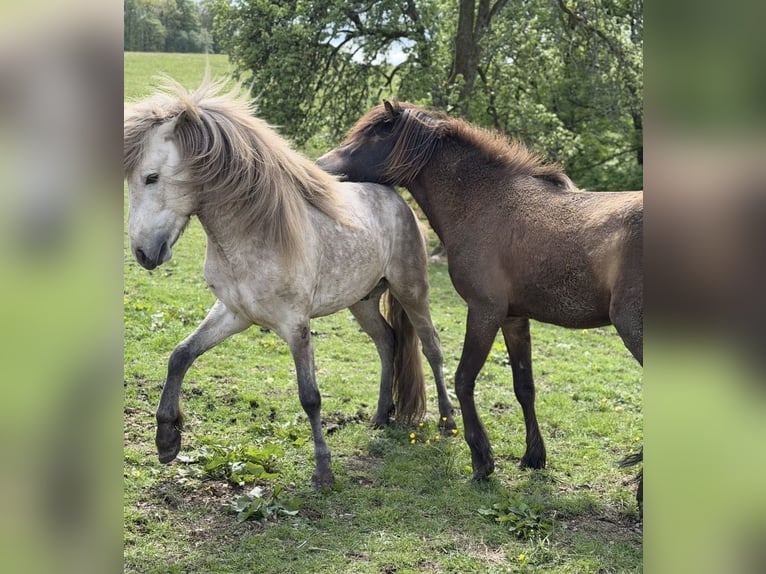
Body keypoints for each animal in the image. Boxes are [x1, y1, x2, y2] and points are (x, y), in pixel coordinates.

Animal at [124, 80, 455, 489]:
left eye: (151, 177)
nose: (143, 252)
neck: (254, 232)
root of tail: (397, 199)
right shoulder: (234, 313)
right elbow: (180, 355)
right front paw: (167, 438)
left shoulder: (295, 323)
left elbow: (310, 396)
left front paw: (324, 471)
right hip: (362, 301)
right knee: (387, 341)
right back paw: (381, 415)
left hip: (412, 291)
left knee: (432, 348)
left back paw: (447, 421)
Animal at [317, 100, 643, 505]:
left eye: (375, 134)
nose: (322, 165)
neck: (485, 201)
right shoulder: (514, 319)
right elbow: (524, 387)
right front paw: (533, 457)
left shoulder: (484, 312)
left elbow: (463, 380)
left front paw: (481, 459)